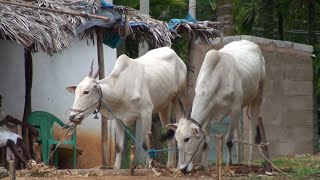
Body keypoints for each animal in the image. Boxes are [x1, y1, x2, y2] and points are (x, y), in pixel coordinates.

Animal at [168, 40, 264, 172]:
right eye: (177, 139)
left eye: (187, 139)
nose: (182, 168)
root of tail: (249, 42)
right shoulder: (209, 113)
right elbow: (207, 142)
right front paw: (204, 166)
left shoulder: (234, 109)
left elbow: (229, 140)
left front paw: (229, 164)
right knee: (239, 135)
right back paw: (239, 161)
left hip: (257, 96)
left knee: (252, 132)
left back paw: (248, 162)